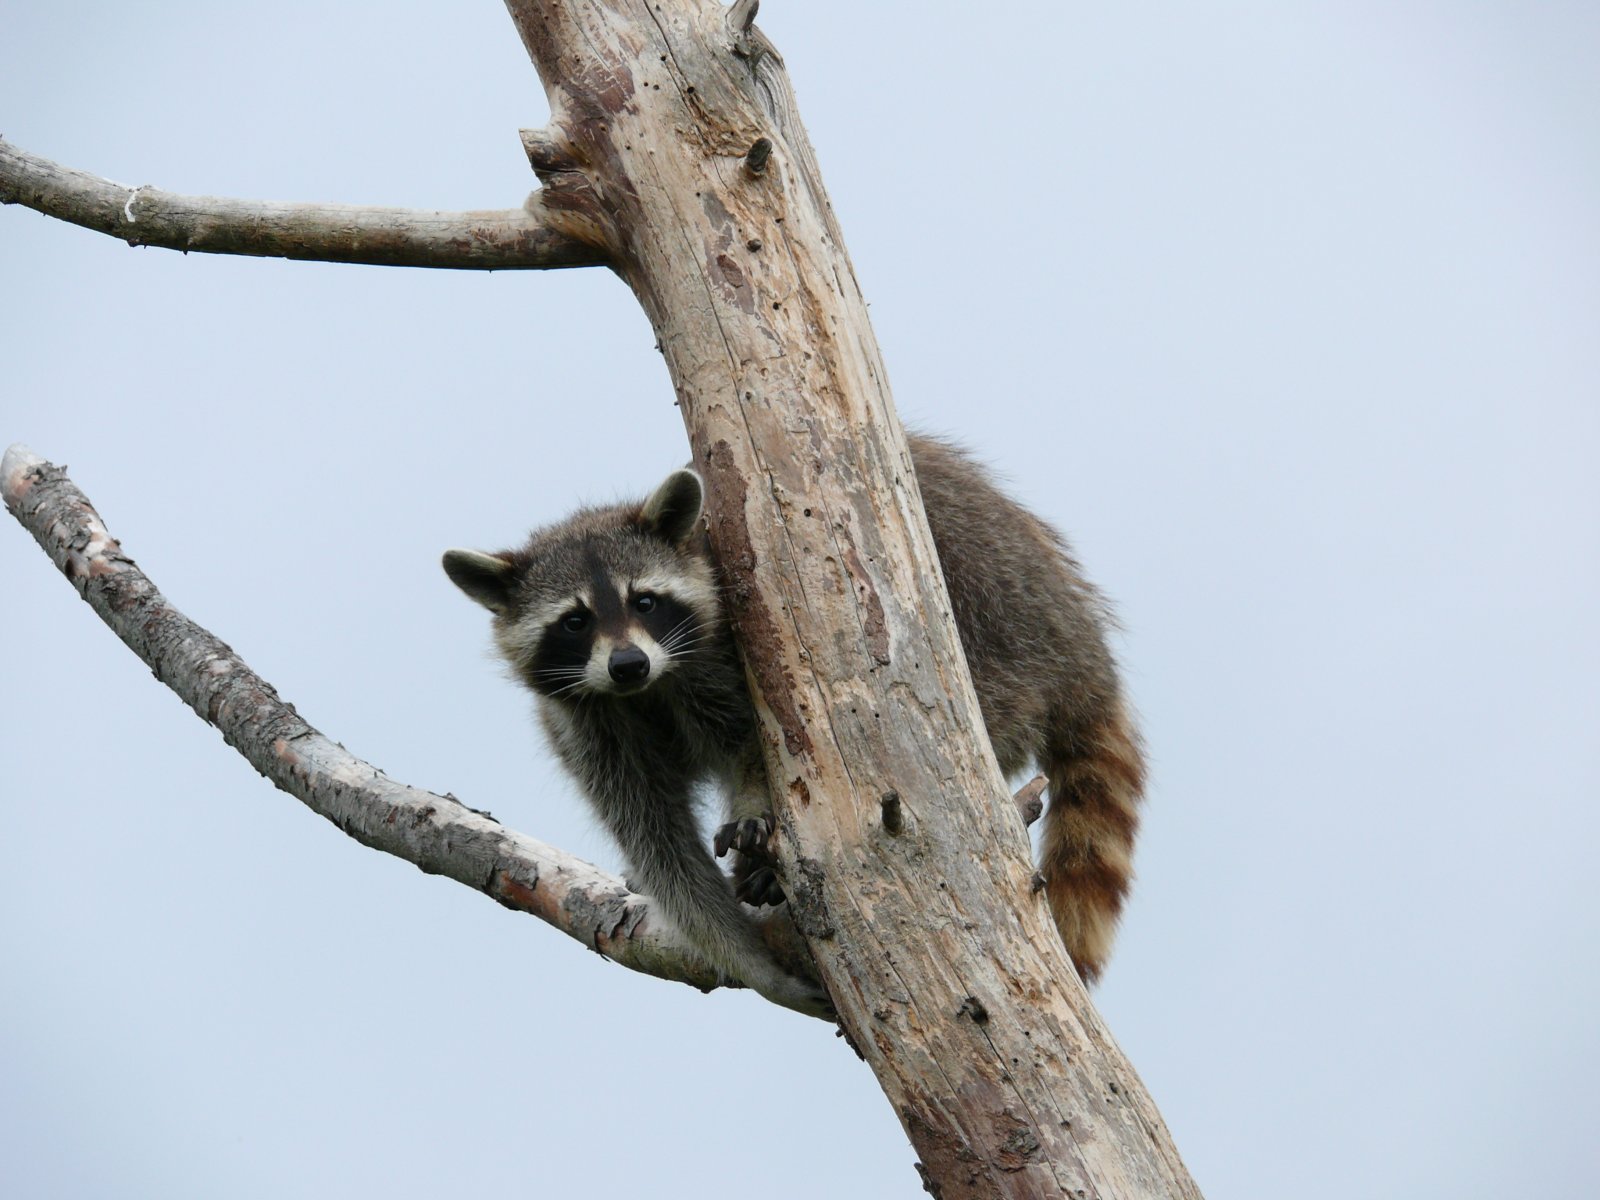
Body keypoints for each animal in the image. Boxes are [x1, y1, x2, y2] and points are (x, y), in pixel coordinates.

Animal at [444, 438, 1145, 1017]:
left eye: (644, 601)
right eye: (574, 621)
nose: (627, 663)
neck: (648, 689)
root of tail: (1082, 650)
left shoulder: (729, 652)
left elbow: (762, 740)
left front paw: (754, 805)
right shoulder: (586, 725)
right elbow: (655, 838)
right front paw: (749, 960)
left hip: (994, 630)